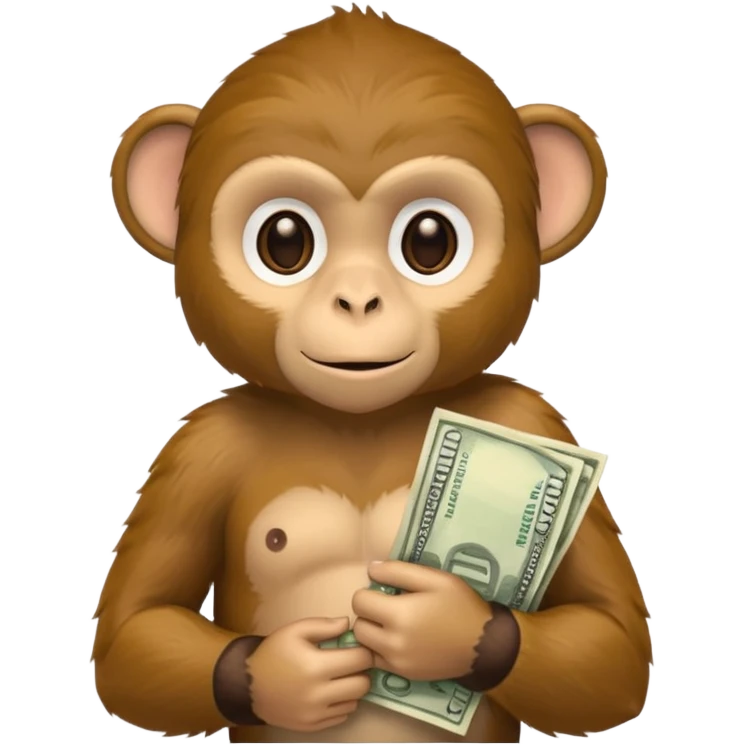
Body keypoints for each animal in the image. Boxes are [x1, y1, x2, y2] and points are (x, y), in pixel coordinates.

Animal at [93, 5, 653, 744]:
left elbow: (610, 639)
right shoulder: (202, 448)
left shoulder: (533, 421)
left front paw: (446, 627)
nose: (357, 299)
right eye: (284, 240)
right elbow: (134, 629)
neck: (359, 421)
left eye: (428, 240)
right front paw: (282, 673)